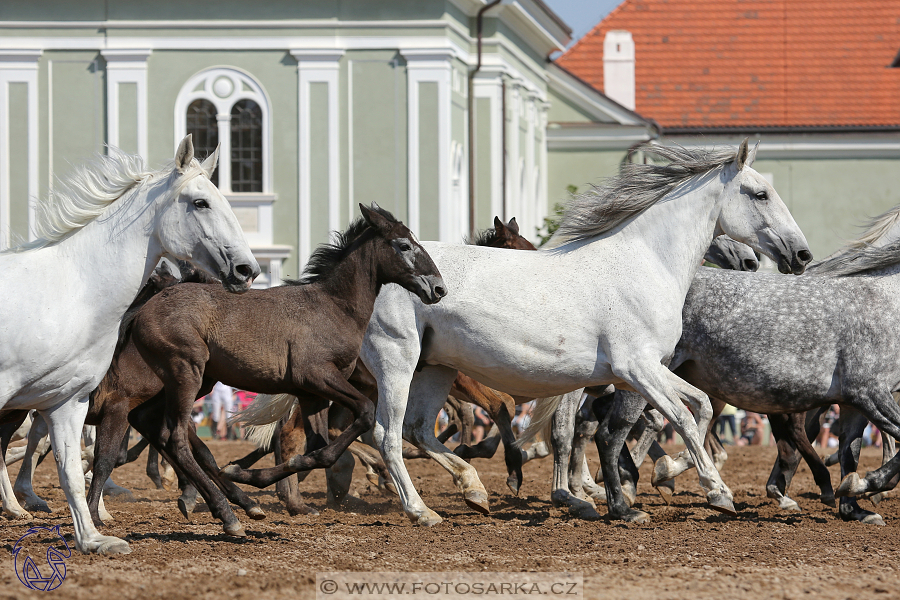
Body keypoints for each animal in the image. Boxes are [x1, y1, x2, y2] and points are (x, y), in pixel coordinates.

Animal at [0, 135, 258, 552]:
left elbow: (74, 469)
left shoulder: (69, 401)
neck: (70, 294)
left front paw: (93, 536)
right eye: (200, 202)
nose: (247, 269)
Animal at [354, 141, 816, 524]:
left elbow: (696, 408)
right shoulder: (637, 368)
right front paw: (715, 492)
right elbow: (678, 418)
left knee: (418, 429)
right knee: (387, 435)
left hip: (436, 368)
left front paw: (660, 477)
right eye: (760, 193)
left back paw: (475, 489)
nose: (801, 254)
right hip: (398, 362)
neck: (646, 262)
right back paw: (421, 510)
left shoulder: (647, 371)